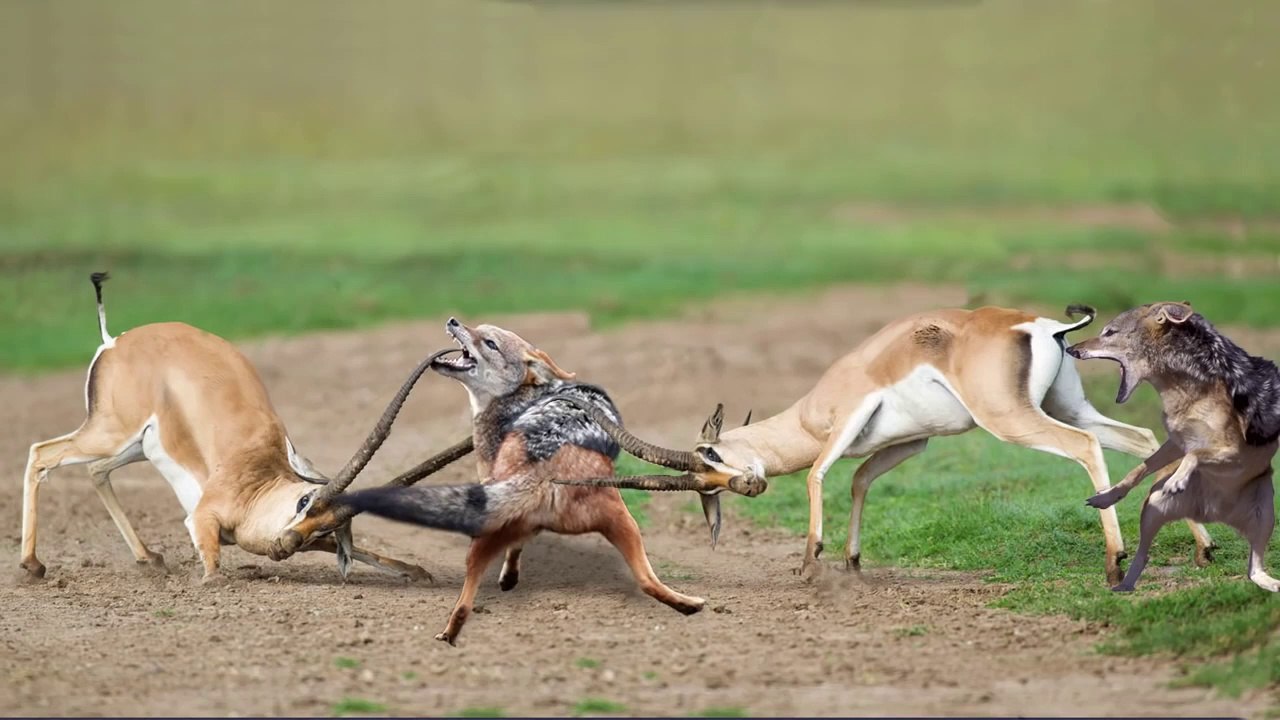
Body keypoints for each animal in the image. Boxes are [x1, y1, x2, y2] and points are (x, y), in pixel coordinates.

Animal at [20, 272, 467, 583]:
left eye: (329, 524)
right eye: (305, 503)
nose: (287, 545)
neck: (256, 478)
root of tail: (116, 341)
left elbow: (364, 553)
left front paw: (416, 572)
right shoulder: (202, 518)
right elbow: (213, 570)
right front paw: (211, 582)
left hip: (134, 448)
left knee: (95, 471)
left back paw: (149, 560)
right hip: (110, 434)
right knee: (41, 453)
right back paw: (33, 567)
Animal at [556, 304, 1216, 586]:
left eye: (710, 460)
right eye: (707, 484)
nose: (751, 483)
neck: (809, 413)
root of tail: (1041, 324)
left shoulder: (849, 417)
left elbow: (820, 474)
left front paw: (809, 561)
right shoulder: (913, 443)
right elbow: (858, 478)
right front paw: (851, 561)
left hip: (1011, 420)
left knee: (1084, 448)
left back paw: (1114, 561)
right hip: (1063, 402)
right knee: (1143, 438)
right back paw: (1202, 550)